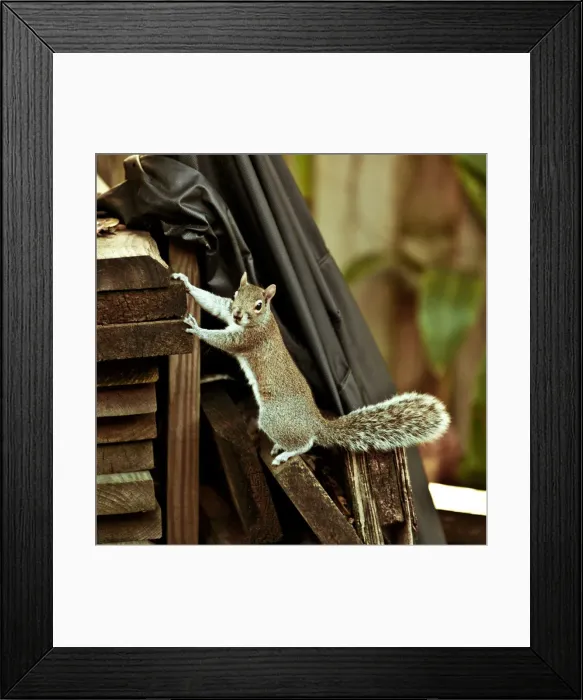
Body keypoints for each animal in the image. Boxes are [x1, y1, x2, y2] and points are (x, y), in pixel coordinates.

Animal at [172, 271, 451, 466]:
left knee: (305, 444)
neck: (259, 322)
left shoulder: (249, 339)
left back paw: (285, 453)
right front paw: (185, 282)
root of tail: (316, 424)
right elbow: (214, 303)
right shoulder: (227, 313)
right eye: (235, 295)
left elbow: (223, 341)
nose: (238, 314)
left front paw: (196, 328)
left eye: (259, 304)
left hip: (274, 418)